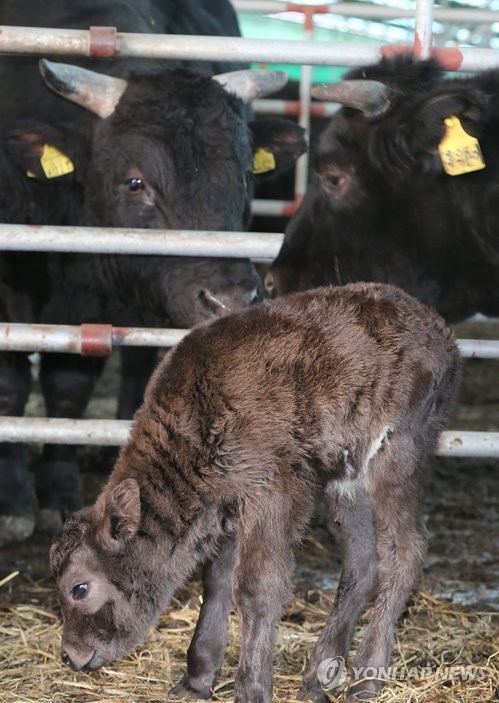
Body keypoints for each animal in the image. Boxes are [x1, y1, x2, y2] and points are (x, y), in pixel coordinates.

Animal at [0, 0, 308, 548]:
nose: (230, 300)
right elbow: (12, 380)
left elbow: (68, 387)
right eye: (134, 182)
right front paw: (12, 500)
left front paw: (57, 491)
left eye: (246, 177)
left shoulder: (101, 298)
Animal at [49, 284, 460, 700]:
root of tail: (437, 330)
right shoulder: (228, 507)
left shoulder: (271, 494)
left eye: (79, 588)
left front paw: (251, 688)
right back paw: (316, 678)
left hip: (395, 461)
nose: (70, 655)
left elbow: (255, 589)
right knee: (363, 563)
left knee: (404, 552)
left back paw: (366, 680)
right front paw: (195, 680)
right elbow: (217, 582)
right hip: (344, 483)